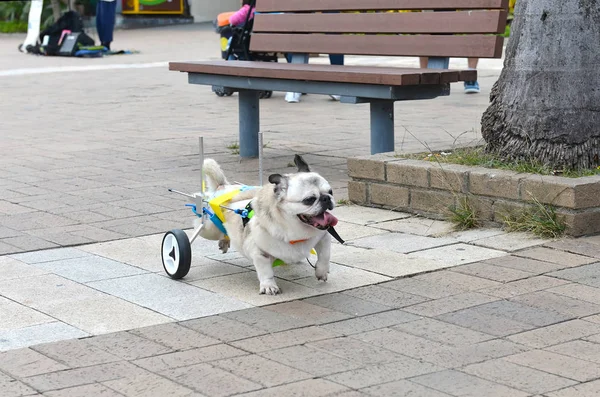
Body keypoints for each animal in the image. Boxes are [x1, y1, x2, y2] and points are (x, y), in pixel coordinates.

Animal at [198, 155, 336, 294]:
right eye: (309, 200)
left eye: (331, 192)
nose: (326, 198)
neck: (294, 231)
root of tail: (222, 186)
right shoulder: (260, 253)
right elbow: (266, 272)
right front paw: (269, 286)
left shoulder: (324, 238)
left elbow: (325, 256)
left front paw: (321, 271)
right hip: (210, 230)